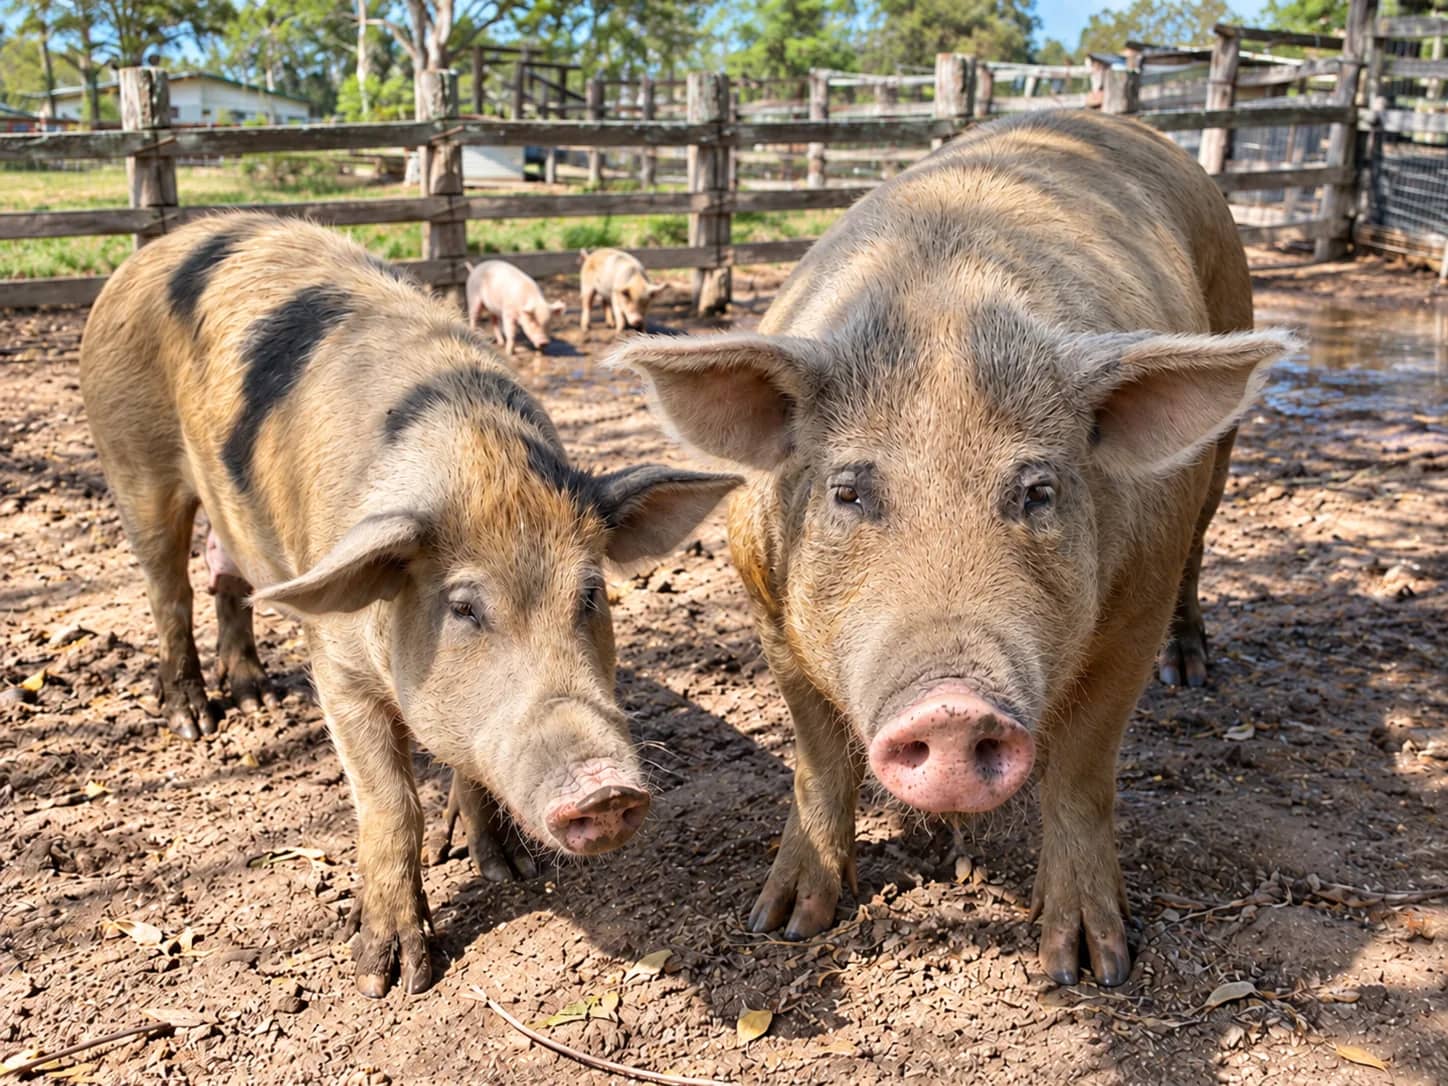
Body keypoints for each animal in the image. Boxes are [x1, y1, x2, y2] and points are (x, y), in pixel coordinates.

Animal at [79, 212, 740, 997]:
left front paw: (509, 869)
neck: (479, 467)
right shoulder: (335, 664)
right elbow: (391, 803)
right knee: (167, 589)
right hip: (132, 459)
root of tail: (153, 249)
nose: (605, 790)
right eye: (463, 608)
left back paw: (255, 697)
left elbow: (466, 761)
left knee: (227, 579)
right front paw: (390, 977)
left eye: (590, 592)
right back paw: (196, 721)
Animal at [609, 111, 1295, 987]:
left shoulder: (1133, 609)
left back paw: (1191, 675)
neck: (945, 309)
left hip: (1216, 455)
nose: (953, 706)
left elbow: (1082, 773)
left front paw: (1087, 967)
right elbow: (817, 760)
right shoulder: (765, 606)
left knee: (1201, 548)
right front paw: (782, 923)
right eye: (849, 491)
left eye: (1038, 491)